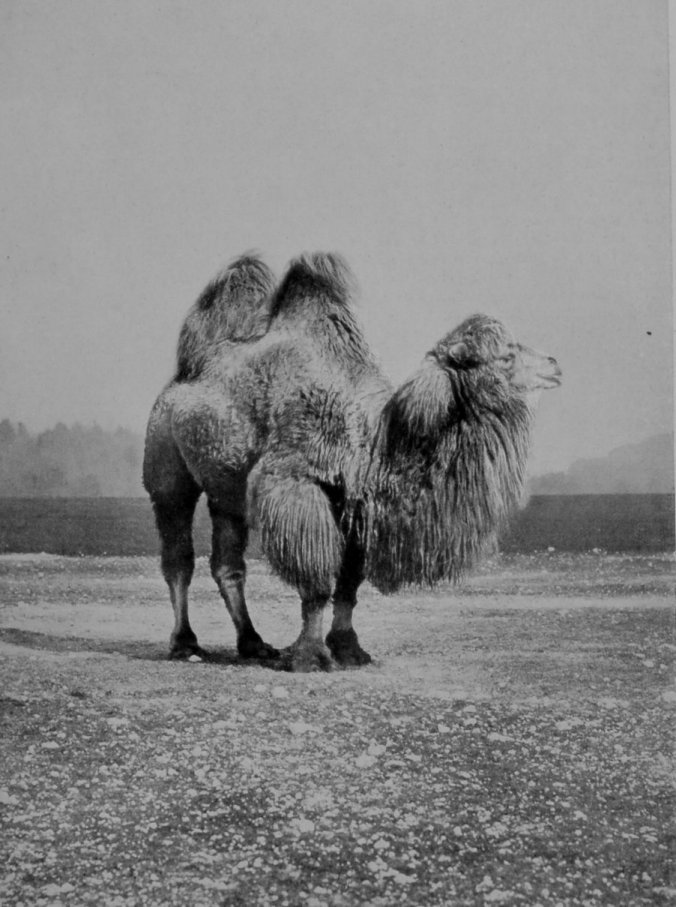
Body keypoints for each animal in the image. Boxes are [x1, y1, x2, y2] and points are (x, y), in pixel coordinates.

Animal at [143, 252, 561, 671]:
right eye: (506, 356)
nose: (555, 365)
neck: (371, 441)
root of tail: (182, 375)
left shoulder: (357, 502)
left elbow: (348, 584)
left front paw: (349, 649)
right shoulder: (297, 486)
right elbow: (315, 579)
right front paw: (311, 656)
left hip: (225, 489)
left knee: (228, 564)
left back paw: (254, 644)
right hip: (165, 458)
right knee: (178, 557)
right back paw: (186, 643)